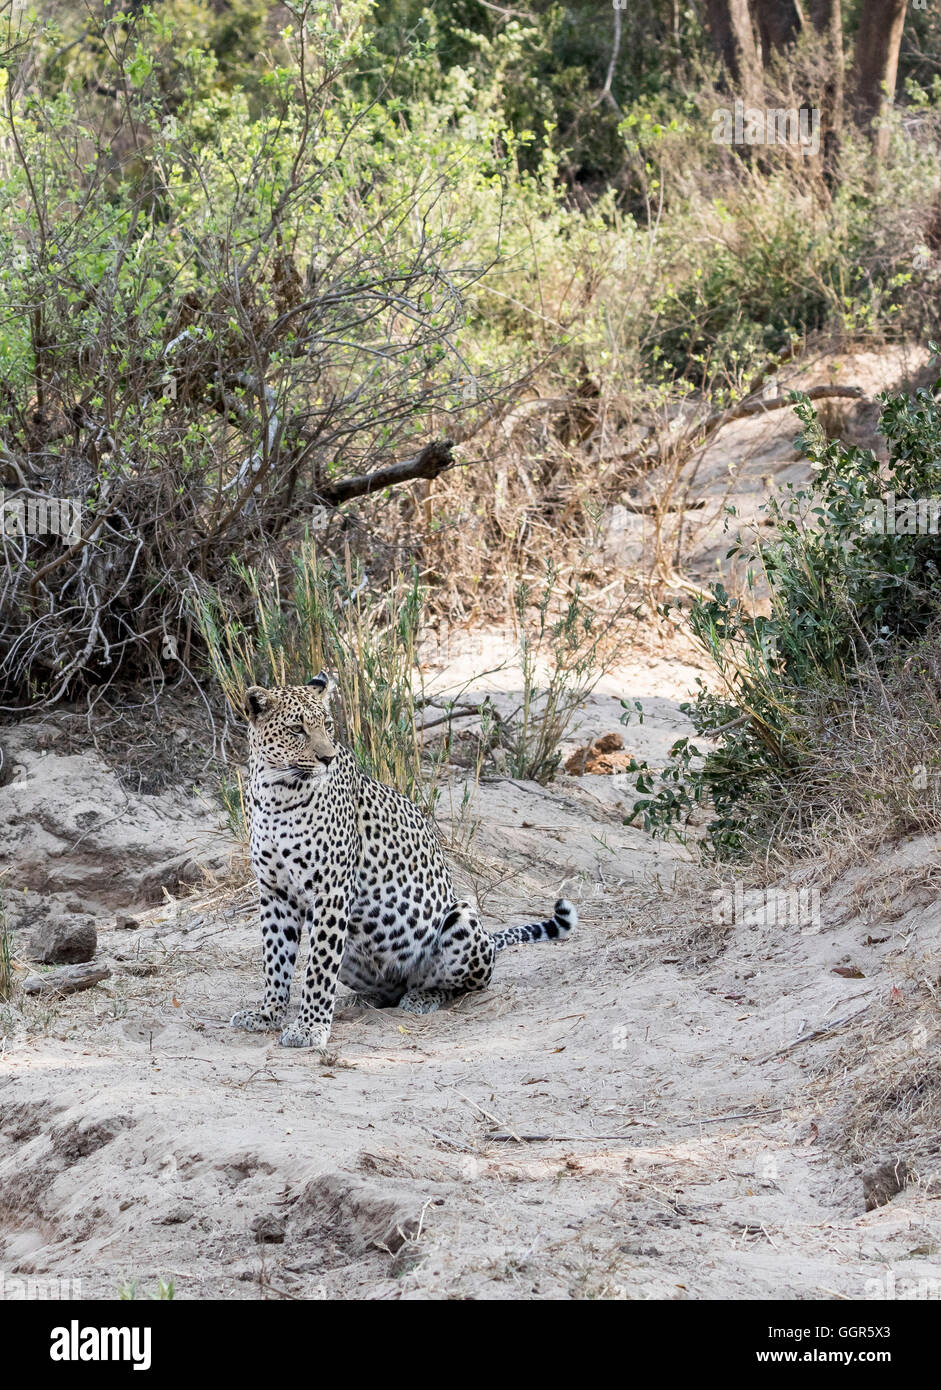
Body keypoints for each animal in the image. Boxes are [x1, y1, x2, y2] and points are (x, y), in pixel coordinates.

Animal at [230, 667, 575, 1045]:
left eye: (327, 725)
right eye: (296, 729)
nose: (327, 758)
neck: (276, 792)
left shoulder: (331, 890)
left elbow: (319, 967)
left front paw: (310, 1027)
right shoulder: (275, 892)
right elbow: (276, 958)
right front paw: (268, 1014)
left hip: (461, 918)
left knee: (460, 984)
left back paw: (422, 997)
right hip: (355, 953)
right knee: (386, 988)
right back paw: (361, 1000)